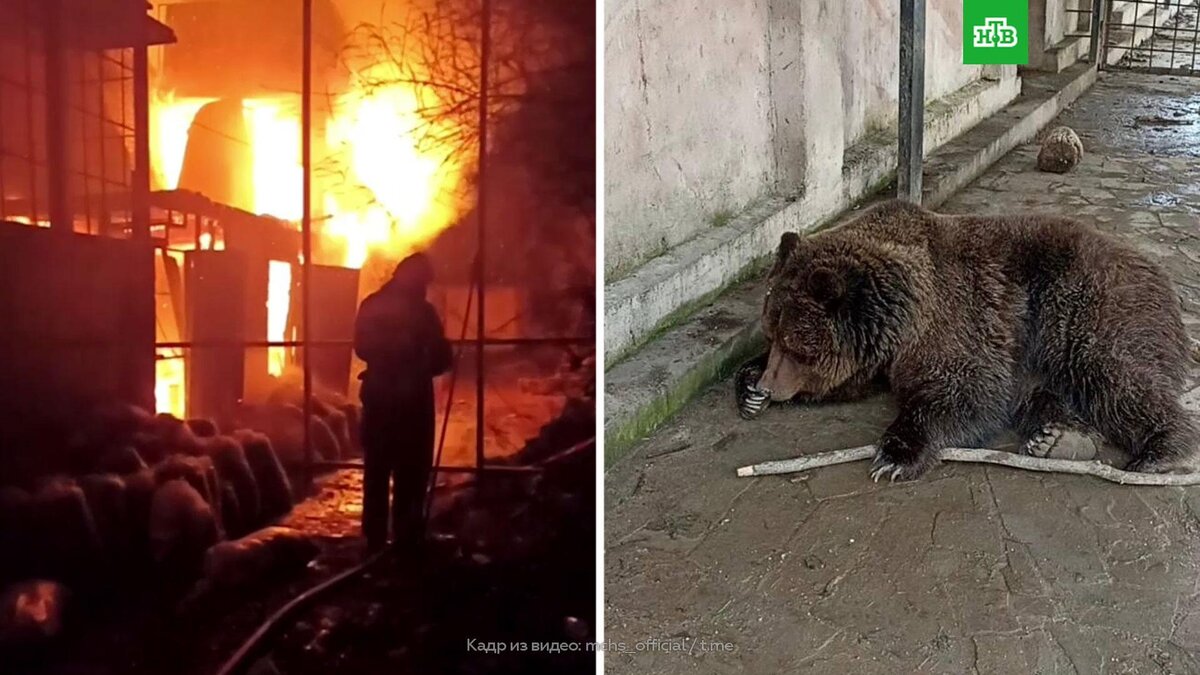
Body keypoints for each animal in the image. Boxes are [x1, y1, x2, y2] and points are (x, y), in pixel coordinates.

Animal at [763, 198, 1195, 478]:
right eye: (772, 333)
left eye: (793, 344)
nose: (769, 386)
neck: (902, 318)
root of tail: (1160, 275)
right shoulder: (882, 354)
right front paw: (750, 383)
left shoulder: (955, 316)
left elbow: (967, 389)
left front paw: (895, 455)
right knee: (1043, 391)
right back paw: (1058, 439)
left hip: (1086, 307)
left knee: (1113, 373)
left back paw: (1162, 451)